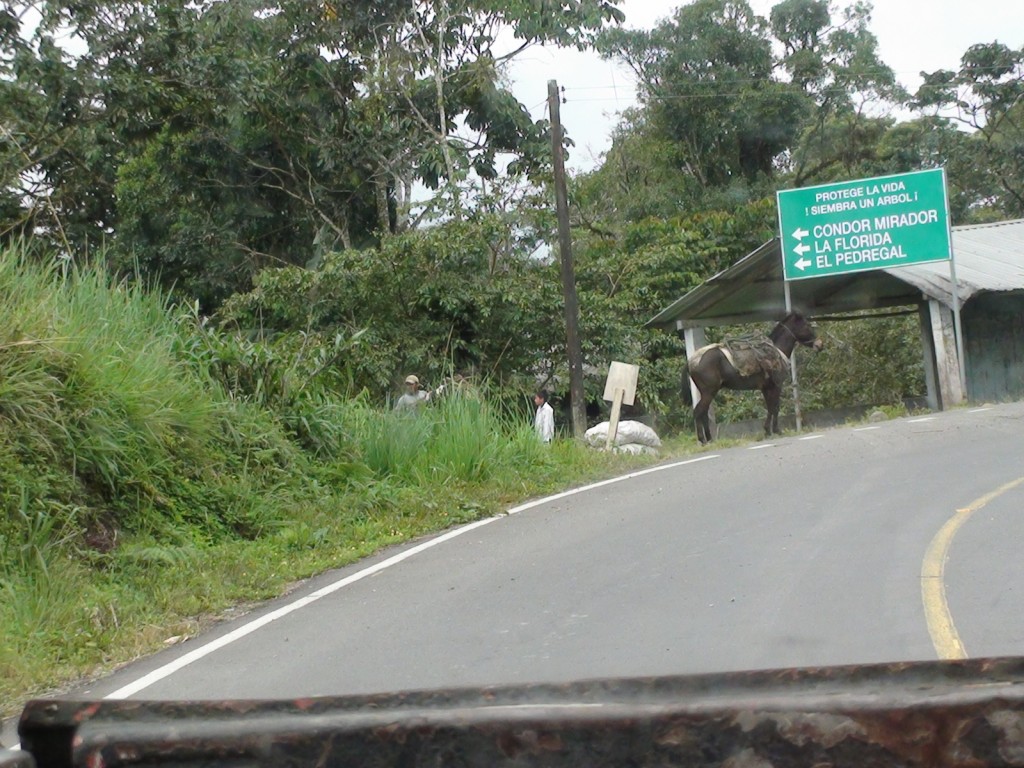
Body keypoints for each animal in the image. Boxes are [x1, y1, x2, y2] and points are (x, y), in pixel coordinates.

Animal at [679, 313, 823, 444]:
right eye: (807, 325)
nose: (820, 345)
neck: (775, 350)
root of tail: (691, 361)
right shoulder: (776, 385)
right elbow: (775, 407)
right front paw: (776, 430)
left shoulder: (766, 387)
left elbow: (770, 407)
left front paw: (767, 430)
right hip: (709, 392)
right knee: (698, 411)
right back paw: (703, 439)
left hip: (707, 393)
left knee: (703, 413)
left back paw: (710, 439)